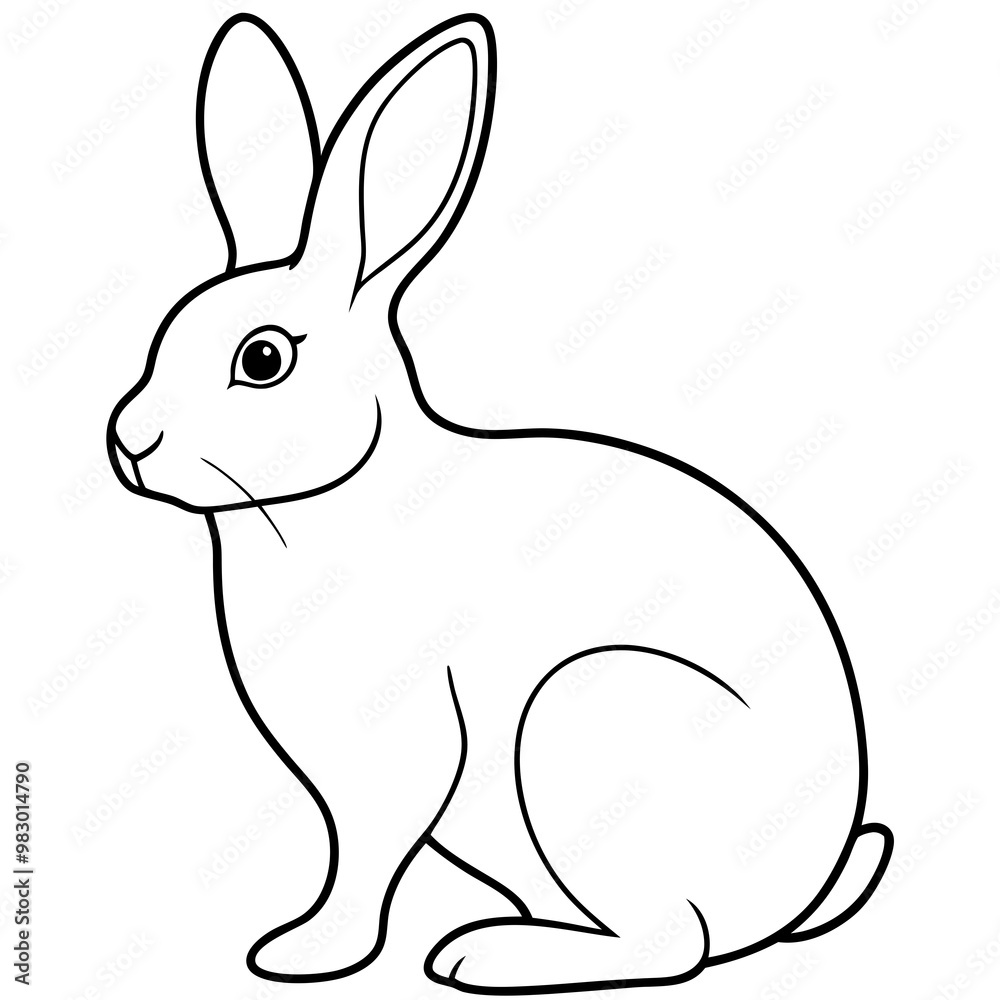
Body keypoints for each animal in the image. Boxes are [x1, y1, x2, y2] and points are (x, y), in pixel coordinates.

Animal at [107, 13, 892, 993]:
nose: (128, 442)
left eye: (262, 359)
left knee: (672, 943)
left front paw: (304, 953)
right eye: (165, 333)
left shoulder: (397, 756)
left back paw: (484, 956)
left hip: (581, 726)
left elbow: (363, 861)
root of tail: (804, 888)